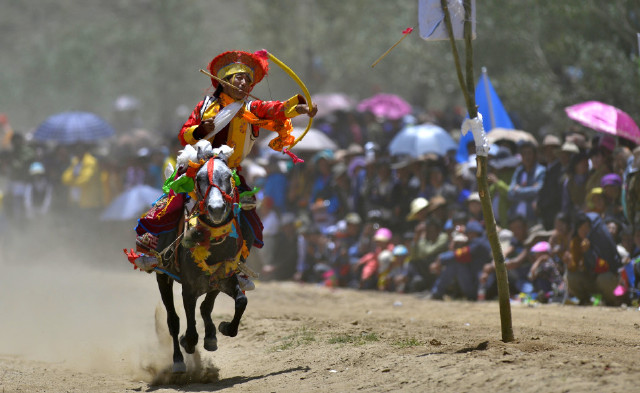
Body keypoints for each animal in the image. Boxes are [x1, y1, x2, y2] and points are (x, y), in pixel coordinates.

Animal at [156, 142, 255, 372]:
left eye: (228, 176)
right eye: (199, 178)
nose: (216, 209)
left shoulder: (224, 276)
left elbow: (241, 300)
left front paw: (225, 328)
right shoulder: (188, 289)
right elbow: (190, 330)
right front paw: (187, 342)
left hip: (213, 283)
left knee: (205, 307)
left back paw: (210, 336)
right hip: (162, 276)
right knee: (173, 320)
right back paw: (178, 360)